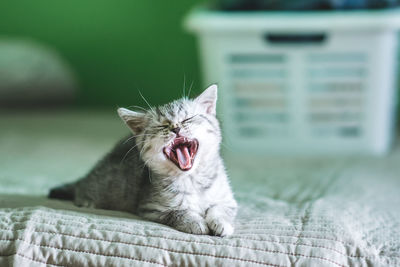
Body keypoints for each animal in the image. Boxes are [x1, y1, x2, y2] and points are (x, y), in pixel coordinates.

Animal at [49, 85, 238, 237]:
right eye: (162, 126)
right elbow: (179, 212)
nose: (176, 128)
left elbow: (220, 209)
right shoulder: (152, 208)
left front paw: (221, 223)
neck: (192, 181)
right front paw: (195, 222)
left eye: (187, 119)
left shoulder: (228, 200)